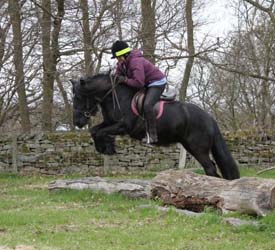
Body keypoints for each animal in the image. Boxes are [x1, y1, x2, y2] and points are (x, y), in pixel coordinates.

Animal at [71, 72, 242, 180]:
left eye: (79, 97)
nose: (77, 122)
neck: (117, 96)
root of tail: (210, 119)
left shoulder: (123, 126)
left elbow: (101, 132)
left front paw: (106, 147)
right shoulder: (109, 123)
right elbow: (94, 130)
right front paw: (105, 147)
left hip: (198, 148)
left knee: (210, 168)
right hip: (189, 146)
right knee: (210, 168)